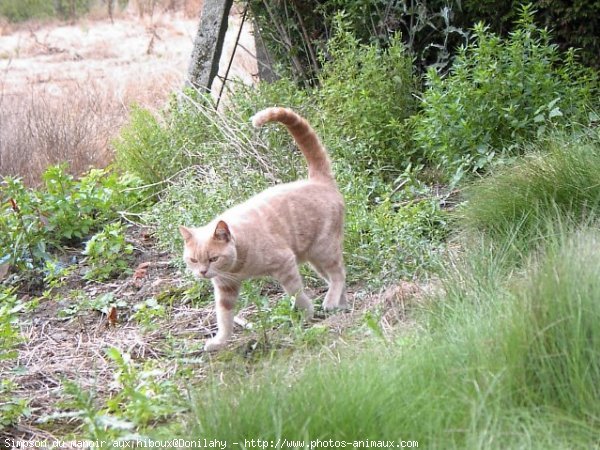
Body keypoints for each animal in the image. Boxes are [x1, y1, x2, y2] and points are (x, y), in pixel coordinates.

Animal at [179, 106, 346, 352]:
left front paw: (307, 313)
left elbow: (296, 293)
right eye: (193, 260)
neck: (238, 266)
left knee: (338, 274)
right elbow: (224, 317)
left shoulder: (285, 263)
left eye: (212, 258)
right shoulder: (225, 288)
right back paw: (341, 303)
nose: (202, 272)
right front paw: (219, 341)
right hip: (315, 257)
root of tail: (317, 180)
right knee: (337, 275)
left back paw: (331, 302)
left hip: (323, 249)